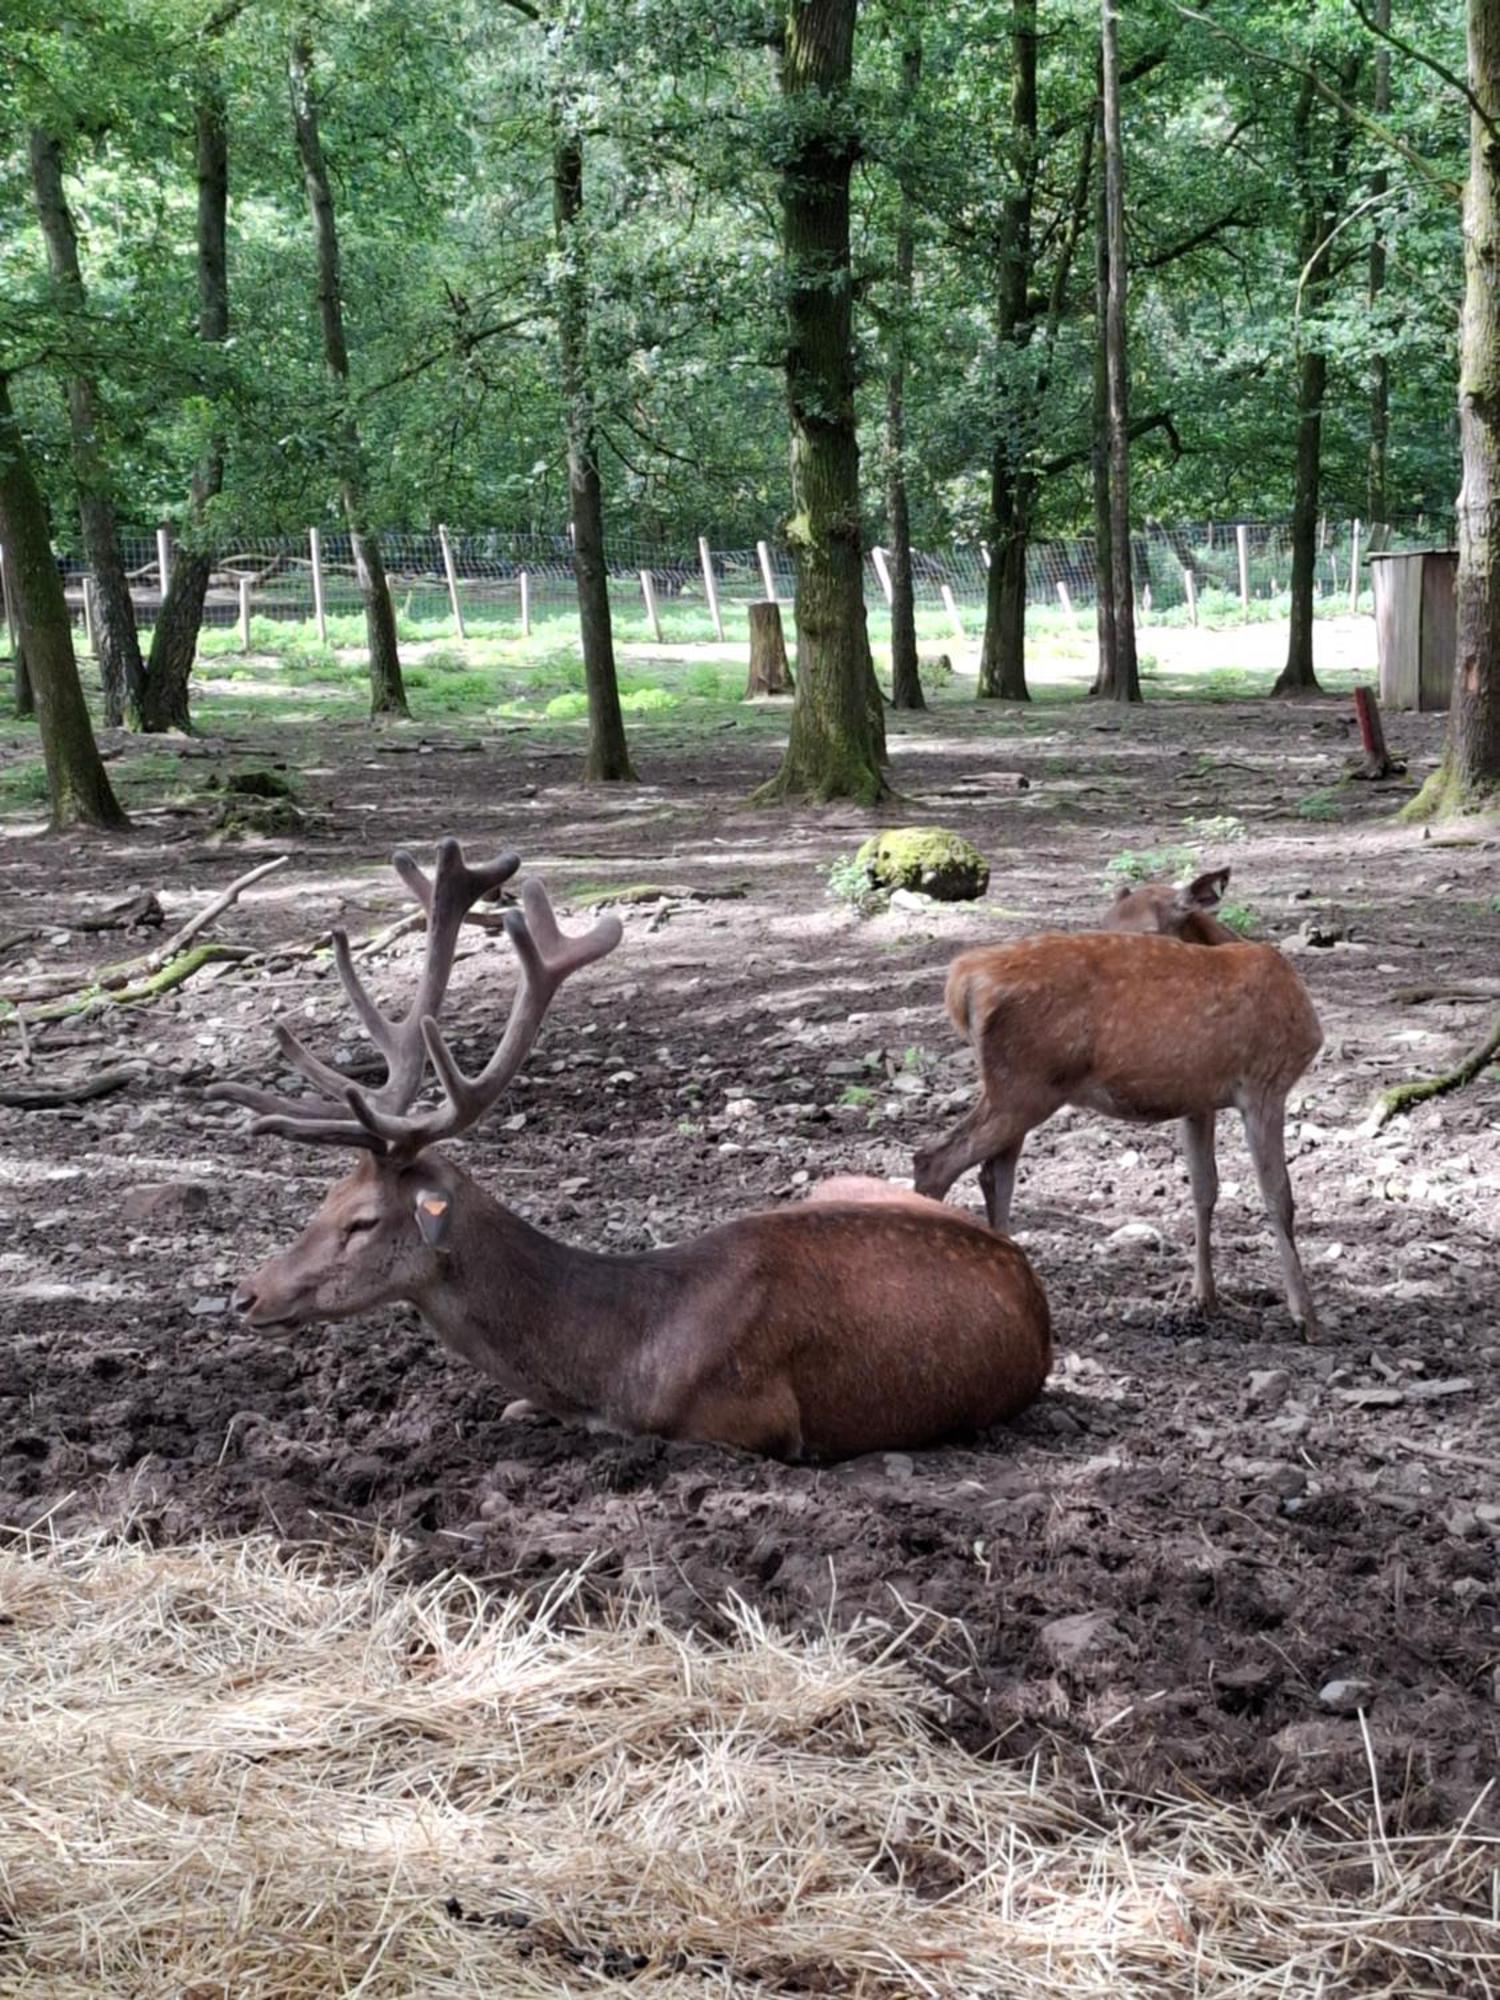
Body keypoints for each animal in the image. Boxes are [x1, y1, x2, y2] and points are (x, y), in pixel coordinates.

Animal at [214, 836, 1056, 1464]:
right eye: (323, 1199)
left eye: (360, 1220)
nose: (247, 1294)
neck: (616, 1360)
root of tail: (1029, 1277)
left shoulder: (754, 1422)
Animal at [916, 868, 1328, 1336]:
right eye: (1105, 924)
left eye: (1150, 931)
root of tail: (962, 979)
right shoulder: (1266, 1082)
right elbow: (1279, 1196)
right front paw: (1306, 1316)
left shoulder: (1199, 1099)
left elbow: (1204, 1188)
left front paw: (1204, 1298)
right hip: (1022, 1085)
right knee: (935, 1160)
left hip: (1015, 1087)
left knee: (993, 1174)